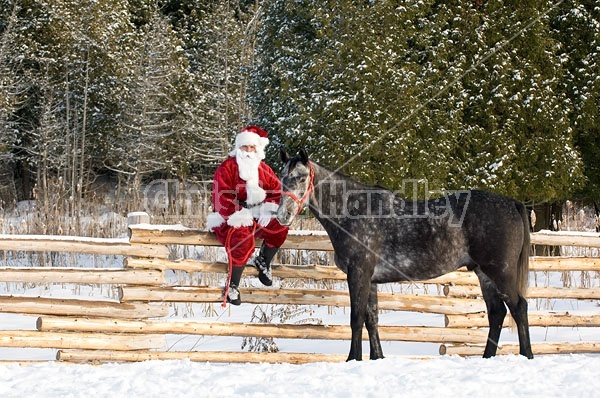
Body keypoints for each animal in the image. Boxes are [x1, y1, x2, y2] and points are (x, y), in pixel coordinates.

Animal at [278, 148, 536, 360]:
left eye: (301, 177)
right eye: (281, 179)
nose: (283, 215)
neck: (354, 211)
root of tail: (512, 203)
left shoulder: (358, 273)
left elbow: (356, 318)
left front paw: (353, 360)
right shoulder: (370, 279)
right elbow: (372, 319)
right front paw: (377, 358)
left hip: (501, 272)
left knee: (519, 307)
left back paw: (527, 355)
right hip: (484, 274)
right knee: (497, 313)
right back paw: (487, 357)